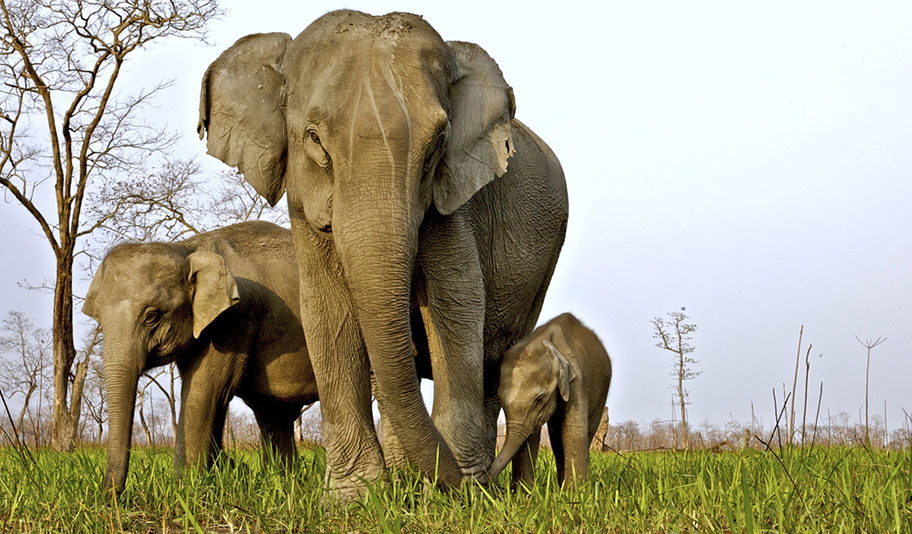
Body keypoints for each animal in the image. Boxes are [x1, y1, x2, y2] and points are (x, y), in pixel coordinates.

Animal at [83, 221, 318, 494]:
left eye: (151, 316)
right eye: (98, 319)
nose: (111, 498)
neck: (186, 249)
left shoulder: (232, 320)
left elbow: (202, 394)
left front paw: (185, 493)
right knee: (274, 414)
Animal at [199, 10, 568, 500]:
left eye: (436, 146)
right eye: (314, 139)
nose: (467, 487)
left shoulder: (454, 203)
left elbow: (457, 306)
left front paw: (460, 493)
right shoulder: (304, 207)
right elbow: (327, 312)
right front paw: (354, 498)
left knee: (496, 360)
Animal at [488, 314, 608, 490]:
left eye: (539, 400)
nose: (501, 487)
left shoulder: (578, 381)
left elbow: (574, 430)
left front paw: (574, 493)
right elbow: (531, 434)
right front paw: (525, 493)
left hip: (602, 392)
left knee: (586, 432)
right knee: (557, 438)